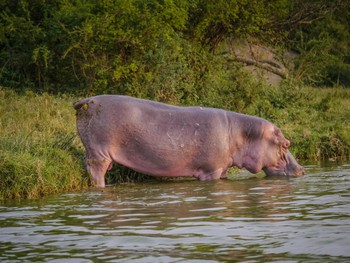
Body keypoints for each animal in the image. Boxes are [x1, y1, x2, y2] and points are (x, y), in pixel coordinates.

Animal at [74, 95, 306, 188]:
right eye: (286, 144)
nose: (303, 169)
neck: (243, 134)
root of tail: (87, 101)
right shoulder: (211, 171)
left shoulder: (222, 168)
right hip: (98, 152)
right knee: (95, 170)